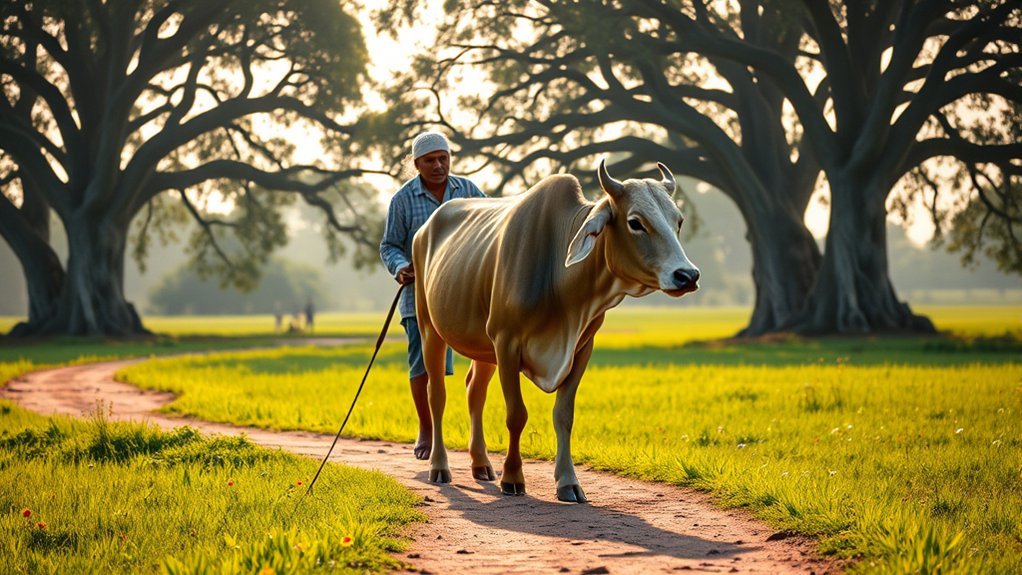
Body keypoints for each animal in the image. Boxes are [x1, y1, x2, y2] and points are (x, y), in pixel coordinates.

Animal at [411, 160, 700, 503]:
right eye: (635, 222)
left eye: (678, 220)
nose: (687, 275)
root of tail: (426, 227)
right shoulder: (506, 343)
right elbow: (516, 415)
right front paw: (513, 477)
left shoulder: (581, 348)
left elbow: (564, 415)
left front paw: (568, 482)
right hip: (430, 329)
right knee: (436, 395)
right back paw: (439, 465)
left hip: (482, 346)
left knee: (474, 392)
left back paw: (481, 464)